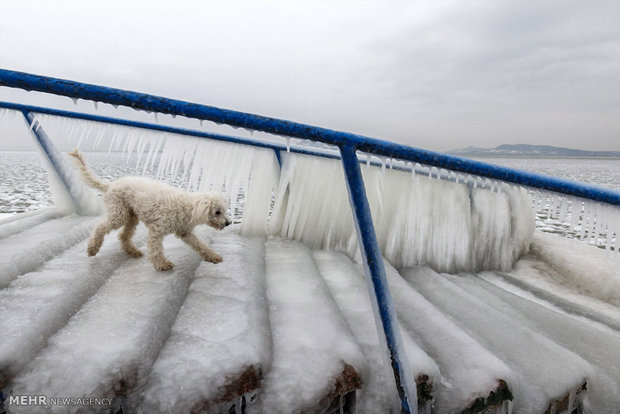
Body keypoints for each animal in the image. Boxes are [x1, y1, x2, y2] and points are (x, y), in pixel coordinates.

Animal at [68, 149, 231, 272]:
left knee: (123, 235)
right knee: (100, 227)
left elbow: (200, 245)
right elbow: (156, 248)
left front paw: (213, 257)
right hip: (119, 213)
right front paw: (162, 264)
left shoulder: (185, 232)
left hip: (131, 215)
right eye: (217, 212)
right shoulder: (157, 230)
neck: (186, 207)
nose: (228, 223)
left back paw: (132, 251)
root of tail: (111, 185)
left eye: (224, 210)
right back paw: (92, 248)